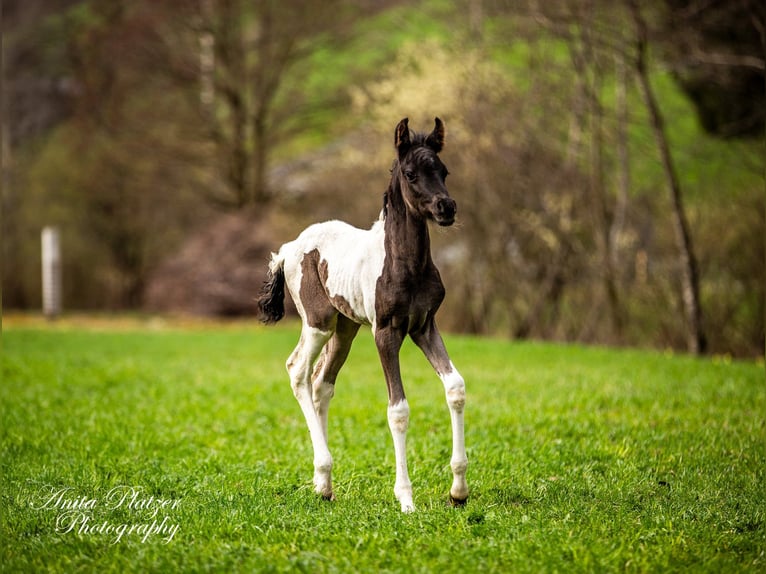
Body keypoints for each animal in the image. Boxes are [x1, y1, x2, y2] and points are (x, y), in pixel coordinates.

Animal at [257, 117, 467, 512]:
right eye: (411, 173)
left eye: (444, 170)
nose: (446, 207)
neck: (404, 263)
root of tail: (289, 248)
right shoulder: (385, 333)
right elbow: (398, 409)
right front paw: (405, 498)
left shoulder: (424, 327)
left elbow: (455, 388)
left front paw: (458, 491)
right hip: (319, 323)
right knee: (298, 370)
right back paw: (323, 471)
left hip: (345, 329)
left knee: (322, 383)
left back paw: (323, 485)